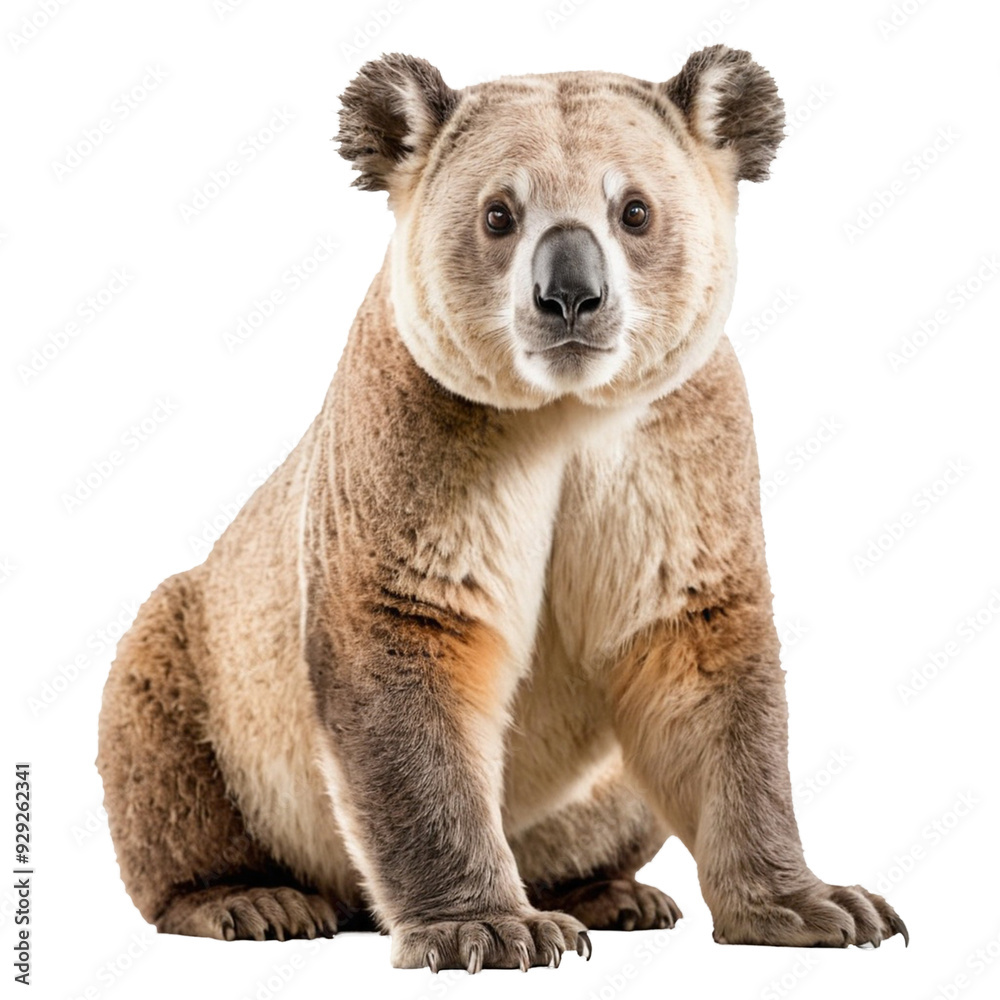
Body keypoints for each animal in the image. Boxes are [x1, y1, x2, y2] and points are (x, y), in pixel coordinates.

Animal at [97, 46, 908, 972]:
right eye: (498, 216)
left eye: (634, 212)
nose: (571, 295)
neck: (566, 416)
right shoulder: (399, 445)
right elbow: (409, 691)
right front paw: (480, 926)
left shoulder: (688, 444)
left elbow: (700, 670)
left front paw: (800, 903)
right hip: (187, 677)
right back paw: (244, 897)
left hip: (598, 802)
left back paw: (608, 893)